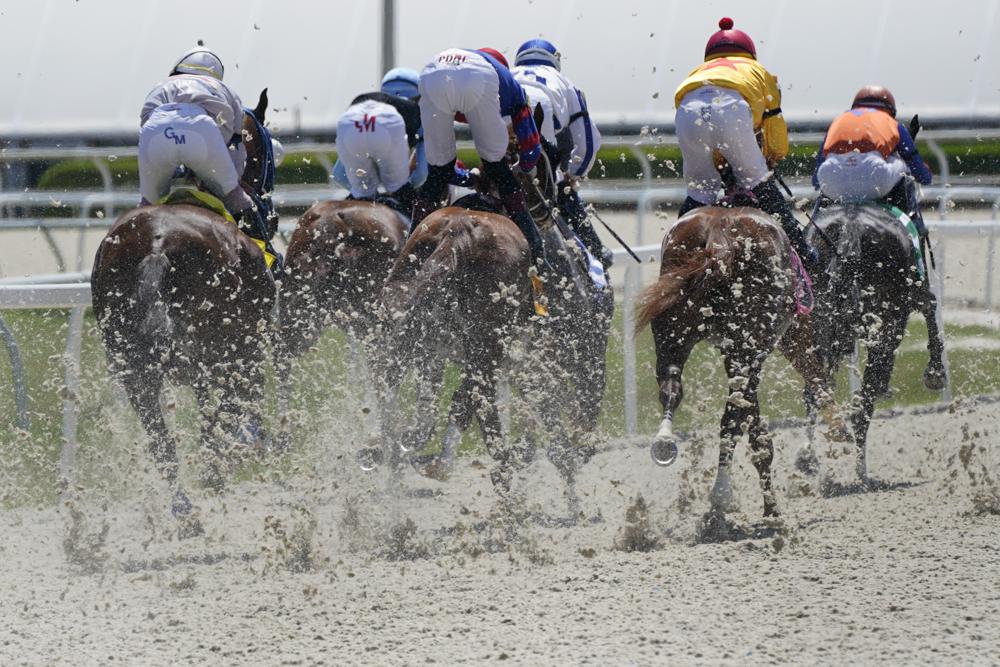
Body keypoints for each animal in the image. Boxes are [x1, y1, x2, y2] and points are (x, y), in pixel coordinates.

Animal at [92, 90, 278, 532]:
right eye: (266, 153)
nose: (273, 213)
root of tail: (158, 245)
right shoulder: (243, 355)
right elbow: (237, 412)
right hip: (211, 356)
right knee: (209, 433)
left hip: (134, 369)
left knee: (162, 443)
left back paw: (184, 509)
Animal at [636, 206, 840, 524]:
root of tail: (719, 235)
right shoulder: (783, 340)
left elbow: (748, 418)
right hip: (752, 345)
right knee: (736, 417)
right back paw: (734, 497)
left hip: (674, 334)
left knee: (671, 385)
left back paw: (665, 441)